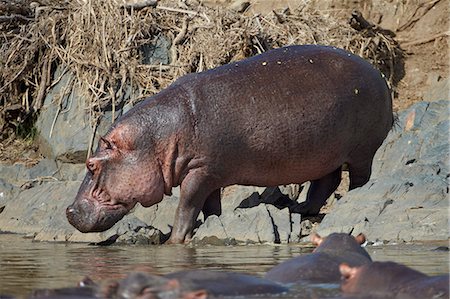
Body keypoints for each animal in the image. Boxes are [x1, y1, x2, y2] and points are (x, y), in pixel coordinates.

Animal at [67, 44, 394, 244]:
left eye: (91, 164)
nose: (69, 211)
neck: (155, 139)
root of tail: (377, 72)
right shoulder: (211, 174)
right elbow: (211, 206)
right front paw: (211, 225)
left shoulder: (200, 172)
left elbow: (187, 206)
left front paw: (174, 240)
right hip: (327, 153)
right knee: (326, 182)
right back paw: (300, 209)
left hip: (361, 150)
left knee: (358, 178)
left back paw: (349, 199)